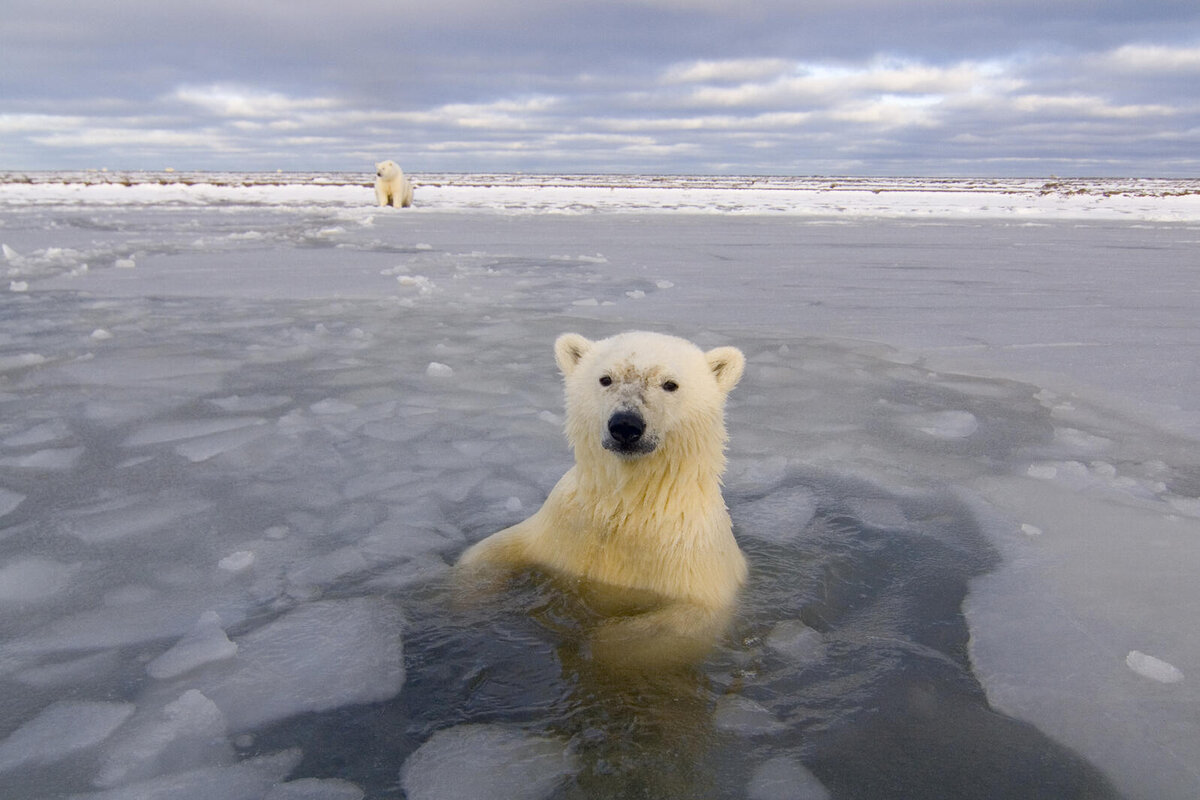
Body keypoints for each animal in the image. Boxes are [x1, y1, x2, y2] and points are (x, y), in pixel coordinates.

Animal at [458, 331, 748, 671]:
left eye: (670, 384)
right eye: (606, 379)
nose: (625, 425)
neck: (626, 504)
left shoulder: (690, 561)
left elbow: (679, 623)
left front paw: (592, 643)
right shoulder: (563, 526)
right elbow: (491, 552)